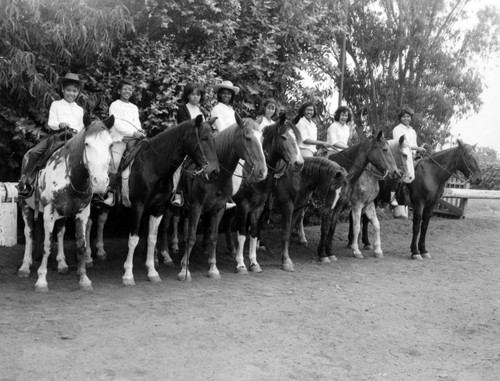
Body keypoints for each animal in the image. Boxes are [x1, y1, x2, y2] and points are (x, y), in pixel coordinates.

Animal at [17, 116, 113, 290]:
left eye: (110, 145)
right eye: (87, 144)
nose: (101, 182)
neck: (71, 176)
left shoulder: (83, 213)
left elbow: (81, 245)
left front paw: (84, 279)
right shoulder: (49, 212)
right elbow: (47, 245)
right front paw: (41, 280)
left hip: (62, 214)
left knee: (60, 232)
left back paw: (62, 264)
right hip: (25, 206)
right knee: (29, 233)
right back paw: (25, 266)